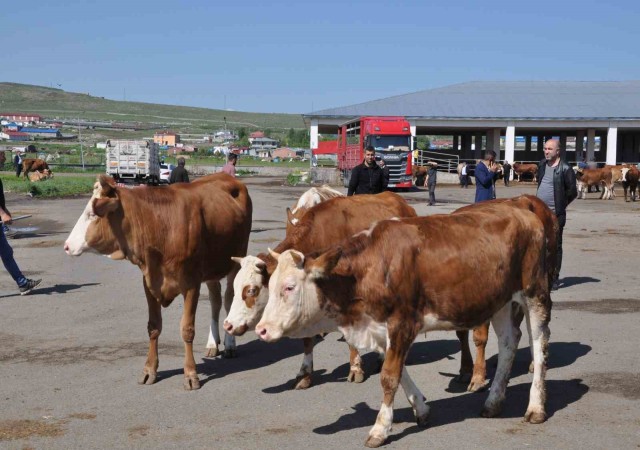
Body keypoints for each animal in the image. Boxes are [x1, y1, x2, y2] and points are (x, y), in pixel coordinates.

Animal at [63, 174, 252, 388]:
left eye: (92, 215)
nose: (67, 246)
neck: (159, 225)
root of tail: (226, 176)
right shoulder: (149, 282)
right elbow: (153, 327)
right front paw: (149, 370)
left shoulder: (191, 283)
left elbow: (187, 329)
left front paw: (190, 373)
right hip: (212, 267)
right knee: (215, 301)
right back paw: (213, 343)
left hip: (236, 259)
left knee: (228, 299)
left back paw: (229, 344)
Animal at [222, 192, 418, 388]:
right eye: (234, 287)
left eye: (251, 290)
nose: (228, 325)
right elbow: (307, 340)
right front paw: (305, 373)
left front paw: (355, 369)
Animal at [255, 203, 552, 446]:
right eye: (270, 284)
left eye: (289, 287)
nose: (261, 329)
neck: (370, 269)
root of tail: (523, 212)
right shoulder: (380, 327)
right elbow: (399, 372)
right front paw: (421, 409)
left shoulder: (403, 322)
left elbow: (389, 376)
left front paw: (380, 429)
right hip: (500, 301)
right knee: (508, 342)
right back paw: (493, 401)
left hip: (534, 291)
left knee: (538, 344)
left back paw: (536, 407)